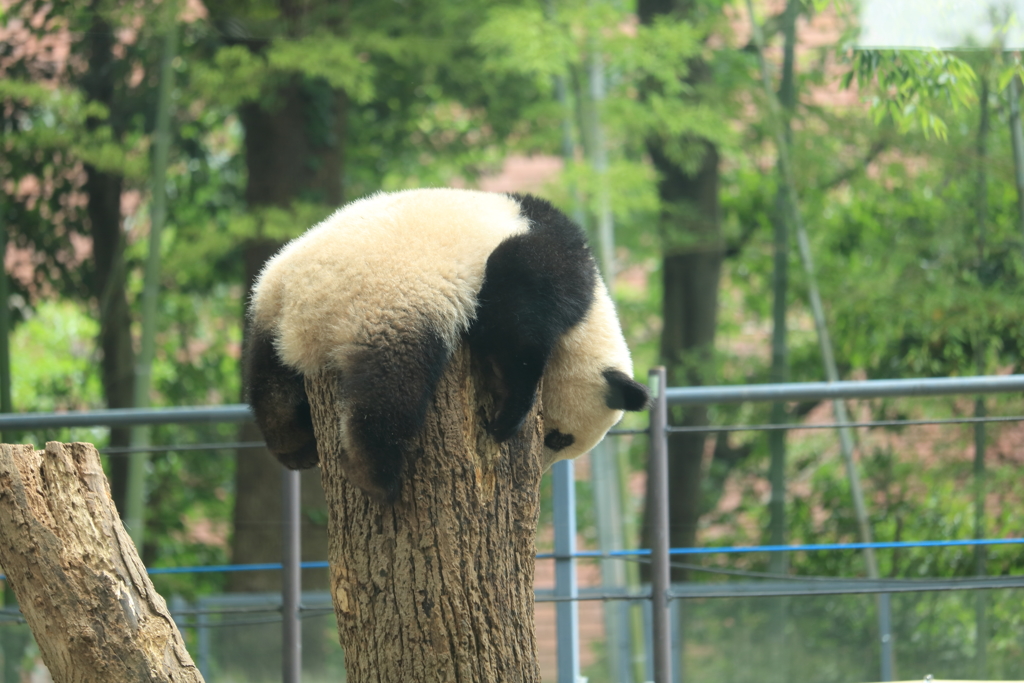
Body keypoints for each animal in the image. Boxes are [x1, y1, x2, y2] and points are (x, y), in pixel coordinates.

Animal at [244, 189, 647, 499]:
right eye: (560, 439)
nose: (541, 473)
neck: (592, 316)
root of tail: (301, 301)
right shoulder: (546, 267)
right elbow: (515, 323)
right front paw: (506, 416)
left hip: (267, 307)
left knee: (269, 379)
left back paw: (292, 444)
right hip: (389, 305)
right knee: (391, 388)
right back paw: (374, 475)